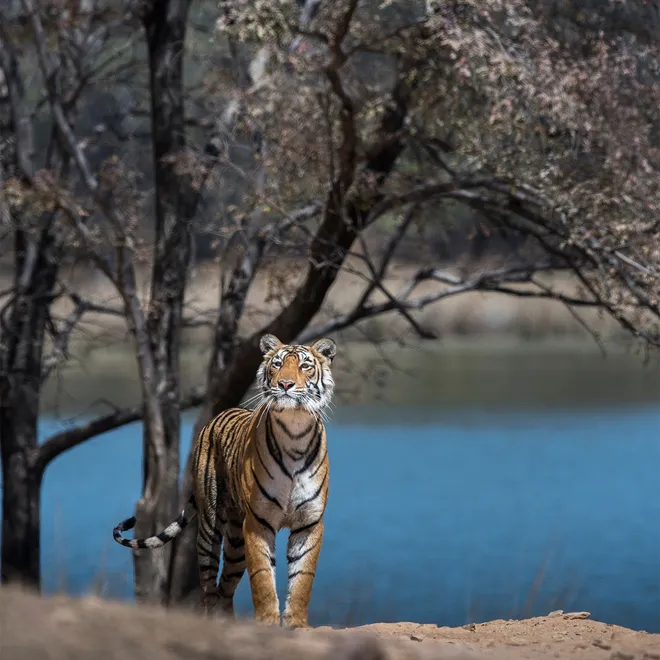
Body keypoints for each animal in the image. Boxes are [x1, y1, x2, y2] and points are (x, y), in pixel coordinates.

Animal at [113, 333, 337, 630]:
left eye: (305, 366)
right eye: (277, 364)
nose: (285, 384)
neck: (294, 433)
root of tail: (217, 416)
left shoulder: (309, 523)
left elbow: (303, 579)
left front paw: (296, 624)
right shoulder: (257, 522)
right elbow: (262, 577)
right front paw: (267, 622)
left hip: (236, 542)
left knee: (225, 586)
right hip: (211, 526)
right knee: (209, 584)